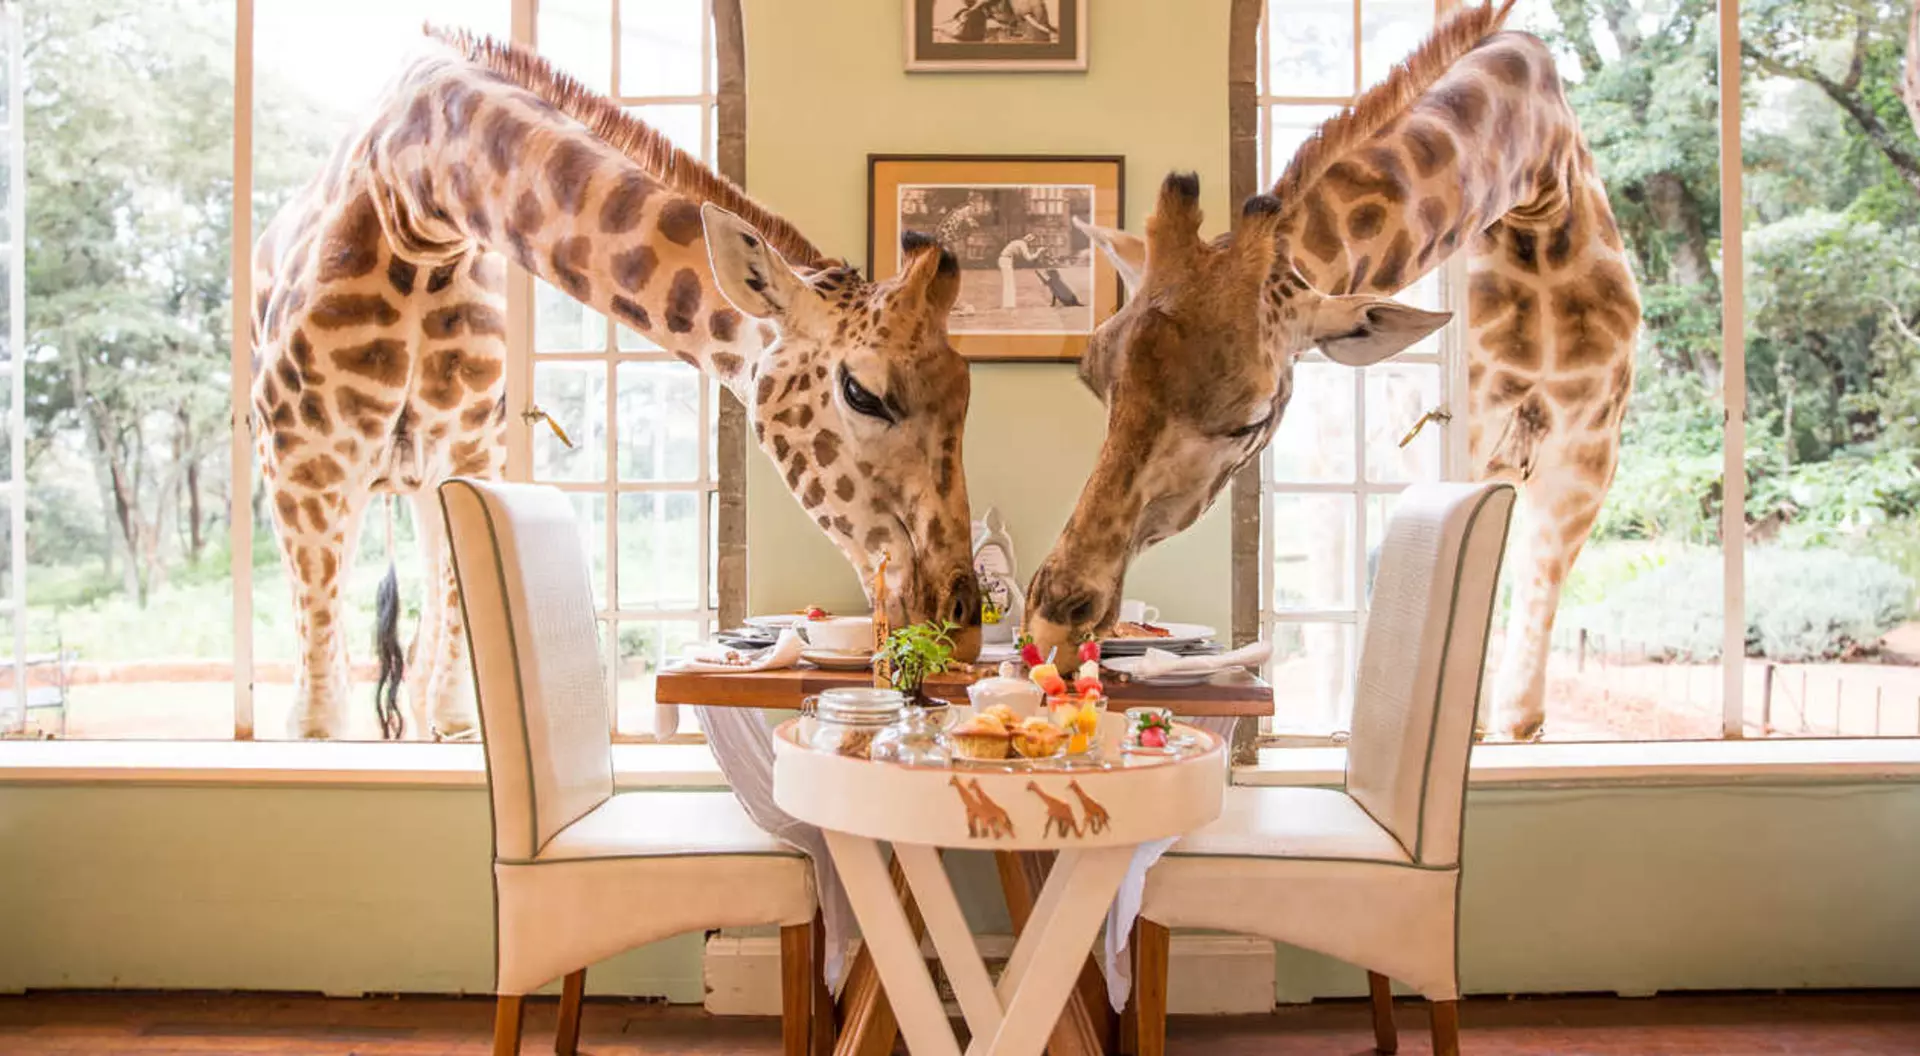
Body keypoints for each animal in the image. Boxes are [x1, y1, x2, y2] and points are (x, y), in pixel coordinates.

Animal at [252, 30, 980, 740]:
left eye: (967, 393)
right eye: (862, 393)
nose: (963, 623)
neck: (416, 201)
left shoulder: (469, 457)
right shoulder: (303, 467)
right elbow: (317, 722)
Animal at [1024, 1, 1639, 741]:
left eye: (1252, 417)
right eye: (1095, 377)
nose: (1053, 622)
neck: (1538, 185)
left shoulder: (1582, 464)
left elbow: (1520, 703)